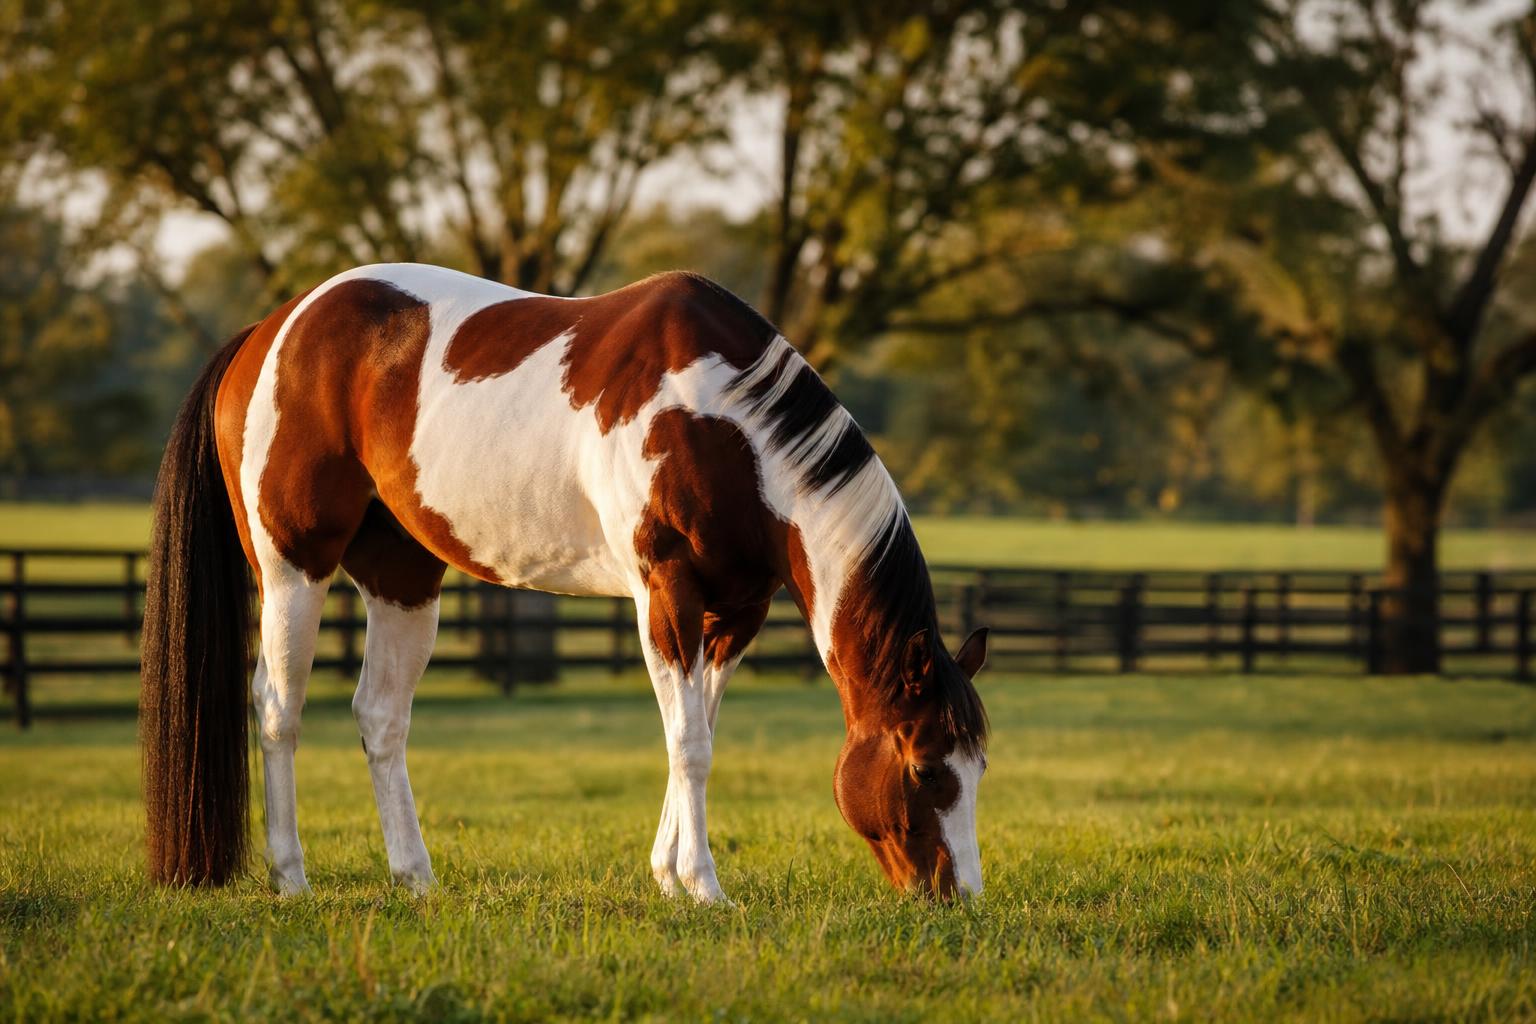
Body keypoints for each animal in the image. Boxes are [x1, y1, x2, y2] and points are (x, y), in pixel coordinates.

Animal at [140, 263, 989, 903]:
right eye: (925, 767)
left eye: (978, 764)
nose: (957, 897)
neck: (722, 425)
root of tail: (271, 331)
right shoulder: (666, 594)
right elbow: (690, 744)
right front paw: (703, 886)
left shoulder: (734, 614)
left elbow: (697, 734)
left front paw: (668, 875)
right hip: (295, 566)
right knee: (277, 709)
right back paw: (291, 879)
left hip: (404, 579)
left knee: (380, 716)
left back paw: (416, 878)